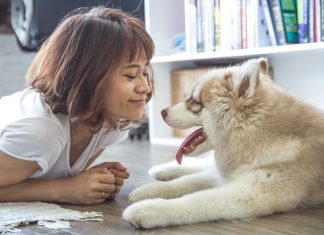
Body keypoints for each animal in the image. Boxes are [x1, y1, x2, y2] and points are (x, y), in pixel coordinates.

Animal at [122, 57, 324, 229]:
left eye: (195, 103)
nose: (162, 112)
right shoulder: (229, 175)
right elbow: (188, 182)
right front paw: (149, 190)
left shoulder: (251, 192)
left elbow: (197, 199)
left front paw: (149, 208)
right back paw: (162, 170)